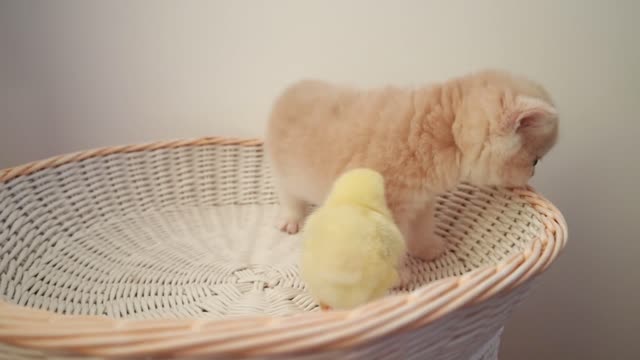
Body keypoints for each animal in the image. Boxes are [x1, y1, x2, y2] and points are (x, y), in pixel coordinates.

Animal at [264, 69, 556, 260]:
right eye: (534, 160)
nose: (532, 173)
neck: (446, 131)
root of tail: (292, 89)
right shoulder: (386, 210)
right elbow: (390, 246)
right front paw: (400, 277)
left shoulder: (421, 201)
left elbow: (421, 229)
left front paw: (426, 249)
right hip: (285, 174)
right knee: (289, 197)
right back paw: (291, 219)